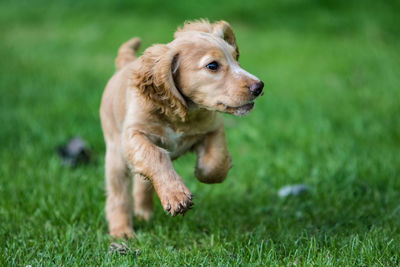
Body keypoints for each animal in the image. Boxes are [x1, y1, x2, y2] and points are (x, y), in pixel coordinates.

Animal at [99, 19, 262, 239]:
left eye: (236, 58)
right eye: (212, 66)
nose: (259, 87)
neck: (179, 116)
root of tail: (125, 65)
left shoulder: (214, 127)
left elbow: (215, 162)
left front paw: (204, 170)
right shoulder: (132, 136)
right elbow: (156, 156)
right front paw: (176, 196)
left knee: (142, 183)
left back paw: (144, 213)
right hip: (115, 156)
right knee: (119, 196)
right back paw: (122, 232)